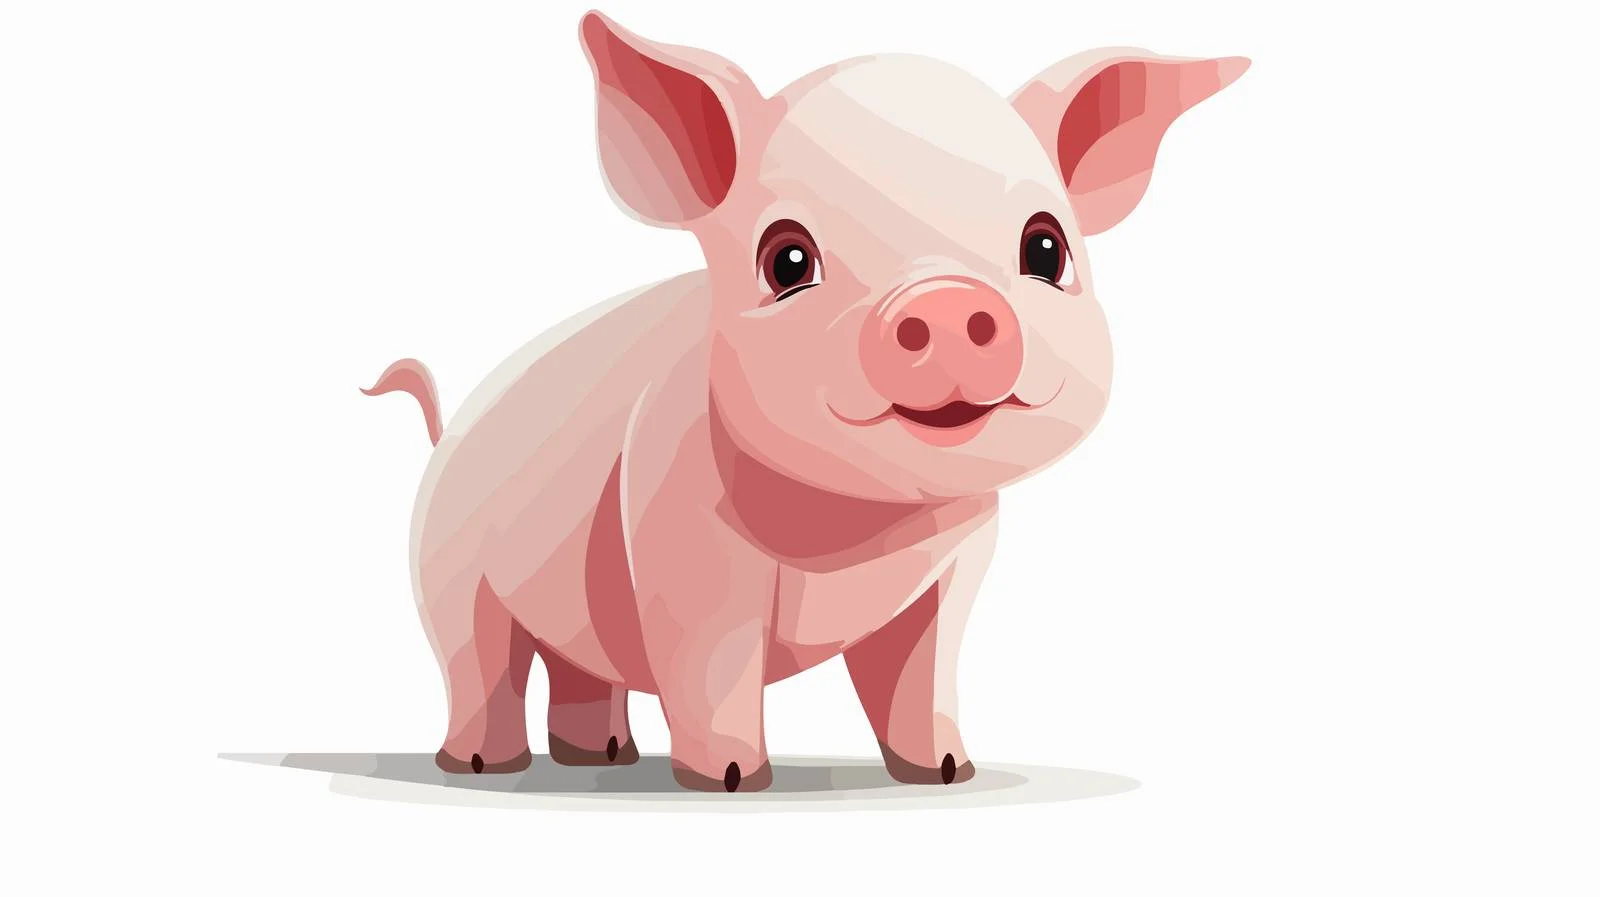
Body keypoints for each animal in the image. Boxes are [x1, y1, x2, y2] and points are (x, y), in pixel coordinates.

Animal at [361, 10, 1246, 792]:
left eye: (1046, 248)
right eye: (787, 259)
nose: (947, 302)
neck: (859, 526)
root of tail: (449, 430)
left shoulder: (957, 565)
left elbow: (921, 674)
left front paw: (948, 772)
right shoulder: (680, 546)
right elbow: (711, 664)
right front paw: (729, 780)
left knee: (580, 666)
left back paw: (604, 755)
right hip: (446, 567)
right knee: (479, 660)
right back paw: (483, 764)